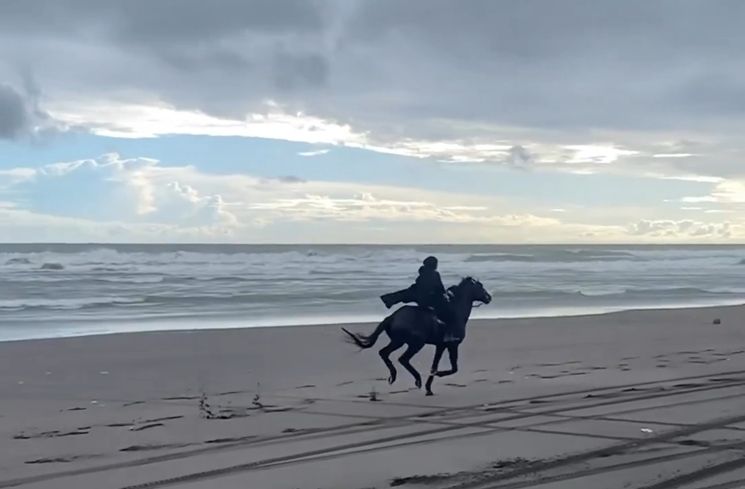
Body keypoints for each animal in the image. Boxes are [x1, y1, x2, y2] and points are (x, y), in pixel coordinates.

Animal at [340, 276, 492, 394]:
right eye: (480, 286)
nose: (489, 297)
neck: (457, 312)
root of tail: (392, 317)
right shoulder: (452, 345)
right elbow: (454, 368)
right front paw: (437, 376)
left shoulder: (440, 346)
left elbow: (435, 365)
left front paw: (429, 387)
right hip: (415, 344)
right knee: (403, 359)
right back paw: (416, 379)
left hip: (398, 341)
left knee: (384, 353)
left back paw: (394, 376)